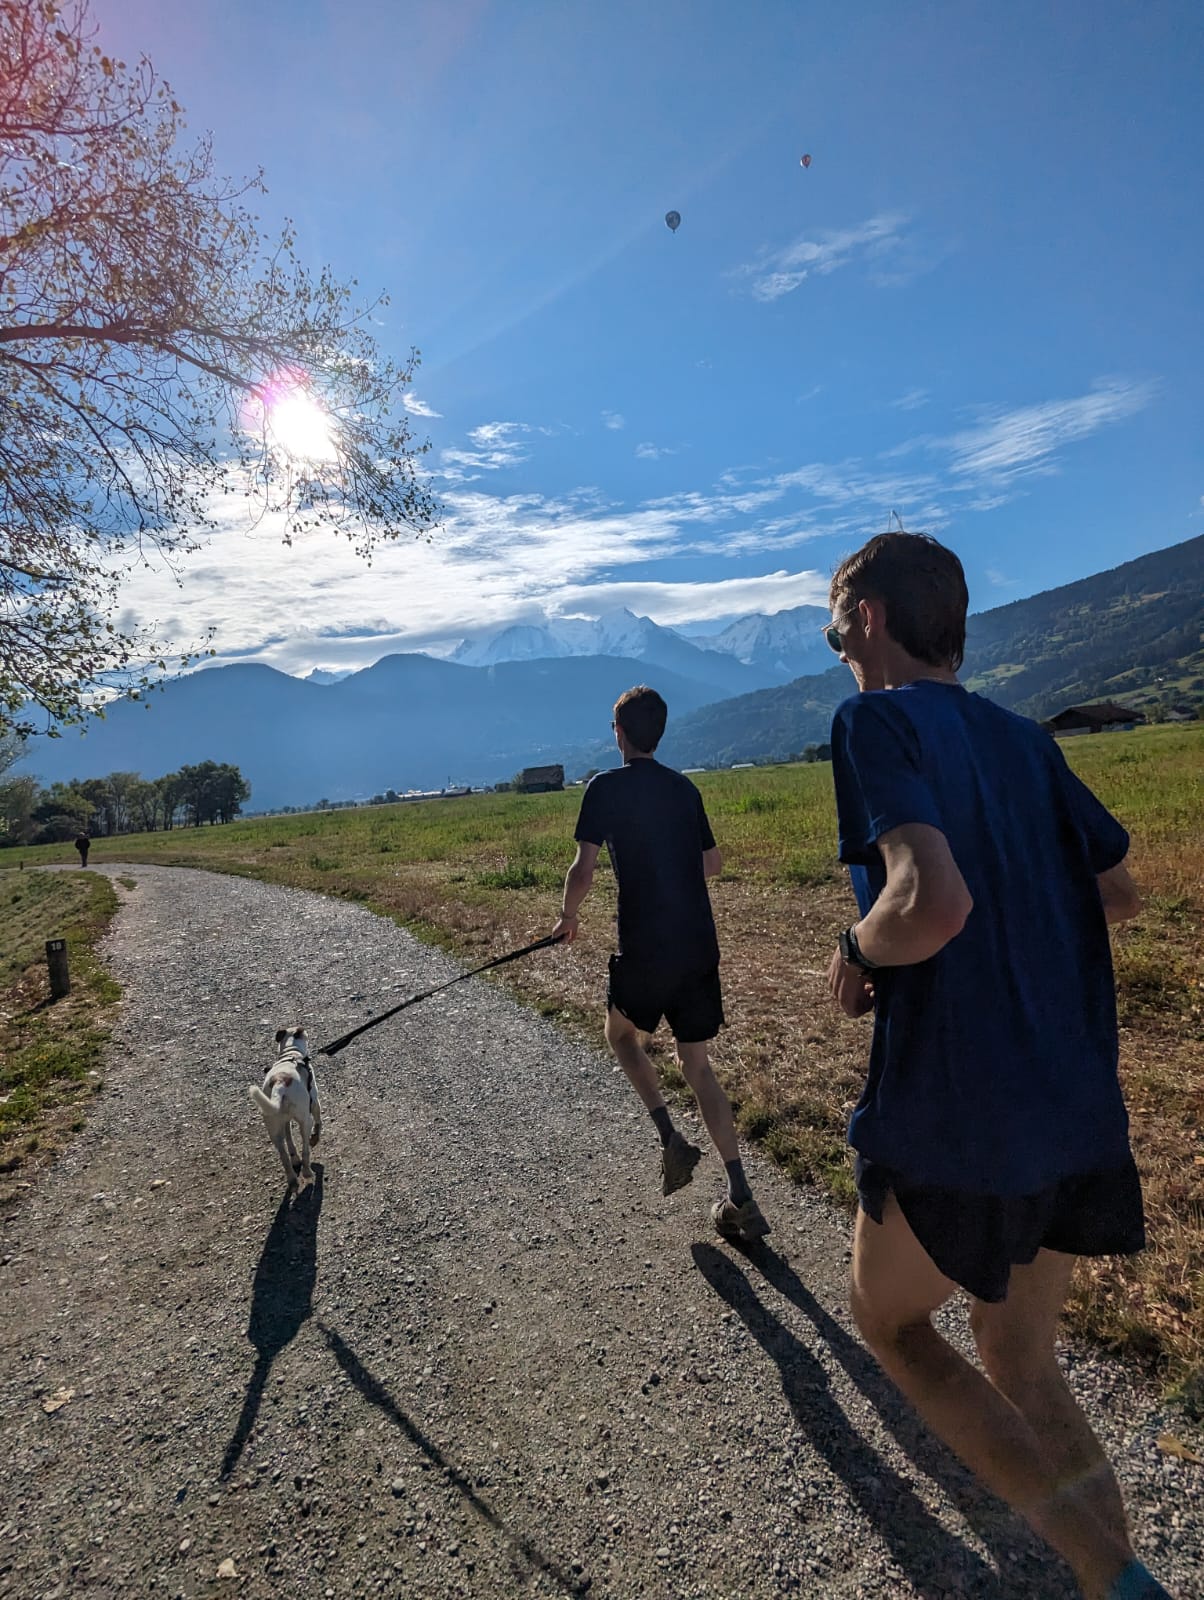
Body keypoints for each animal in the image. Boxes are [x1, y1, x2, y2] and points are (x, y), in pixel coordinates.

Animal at [248, 1027, 323, 1190]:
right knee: (306, 1150)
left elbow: (289, 1139)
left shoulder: (285, 1121)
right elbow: (319, 1122)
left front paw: (294, 1158)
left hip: (273, 1129)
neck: (291, 1053)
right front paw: (315, 1138)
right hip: (304, 1120)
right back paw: (307, 1172)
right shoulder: (314, 1101)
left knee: (283, 1156)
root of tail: (280, 1082)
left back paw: (292, 1179)